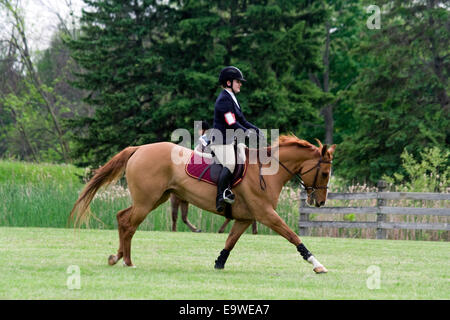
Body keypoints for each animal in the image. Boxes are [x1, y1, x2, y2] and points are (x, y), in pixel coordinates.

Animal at [70, 135, 336, 272]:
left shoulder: (245, 218)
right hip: (146, 202)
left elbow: (230, 241)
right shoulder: (266, 214)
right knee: (128, 224)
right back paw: (127, 260)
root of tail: (139, 149)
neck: (267, 171)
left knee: (122, 217)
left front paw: (219, 263)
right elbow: (293, 236)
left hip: (155, 199)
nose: (320, 202)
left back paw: (116, 257)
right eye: (324, 173)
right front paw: (316, 263)